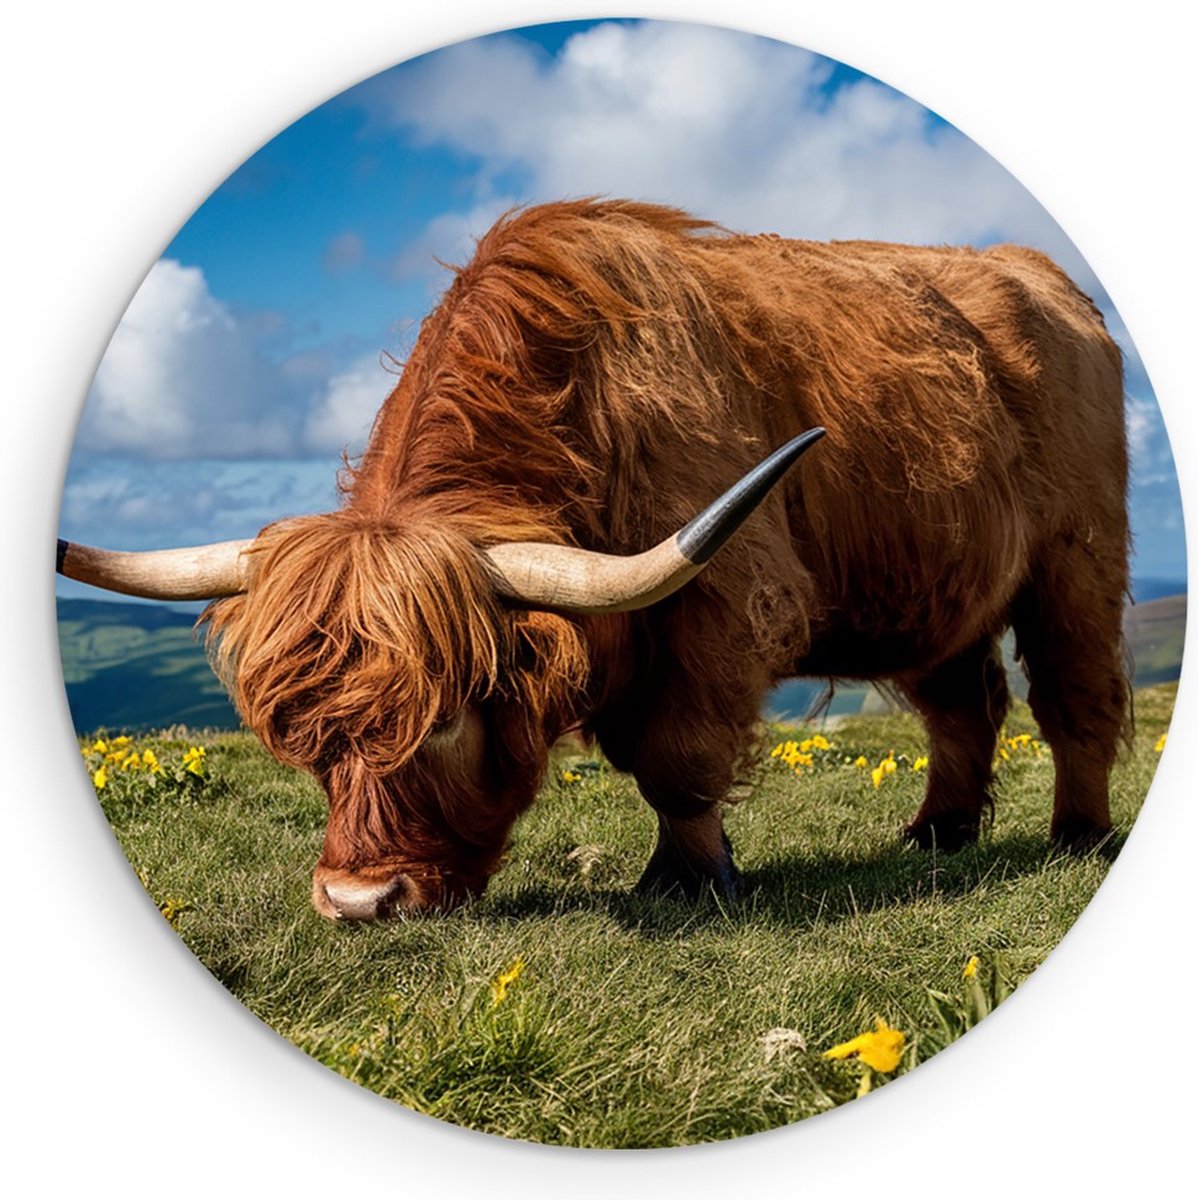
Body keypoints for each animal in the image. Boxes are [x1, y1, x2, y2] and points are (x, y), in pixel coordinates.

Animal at [58, 199, 1130, 920]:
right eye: (306, 741)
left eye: (443, 722)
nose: (360, 902)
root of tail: (1039, 275)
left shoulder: (722, 601)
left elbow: (677, 760)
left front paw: (691, 879)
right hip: (940, 580)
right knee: (963, 704)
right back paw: (937, 834)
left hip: (1078, 557)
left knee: (1074, 696)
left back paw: (1078, 836)